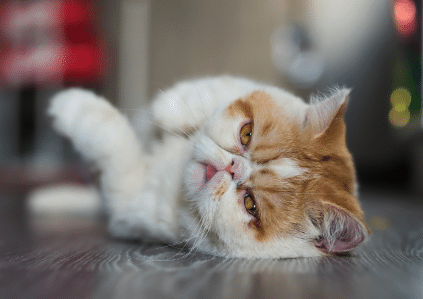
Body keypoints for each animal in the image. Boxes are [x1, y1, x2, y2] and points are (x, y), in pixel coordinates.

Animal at [48, 75, 370, 260]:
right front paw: (171, 109)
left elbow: (112, 137)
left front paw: (68, 104)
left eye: (250, 204)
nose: (232, 167)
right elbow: (217, 86)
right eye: (246, 134)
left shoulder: (127, 198)